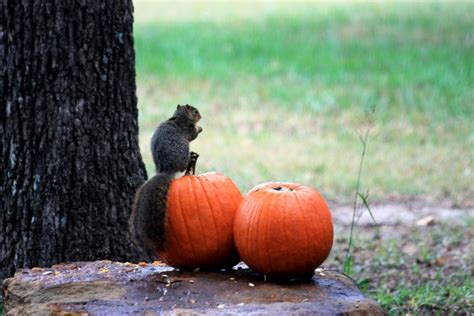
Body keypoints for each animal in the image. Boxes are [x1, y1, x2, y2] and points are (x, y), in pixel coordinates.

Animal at [130, 103, 202, 256]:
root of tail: (167, 169)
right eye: (195, 111)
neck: (179, 117)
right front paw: (200, 128)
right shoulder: (189, 128)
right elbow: (193, 135)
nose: (200, 116)